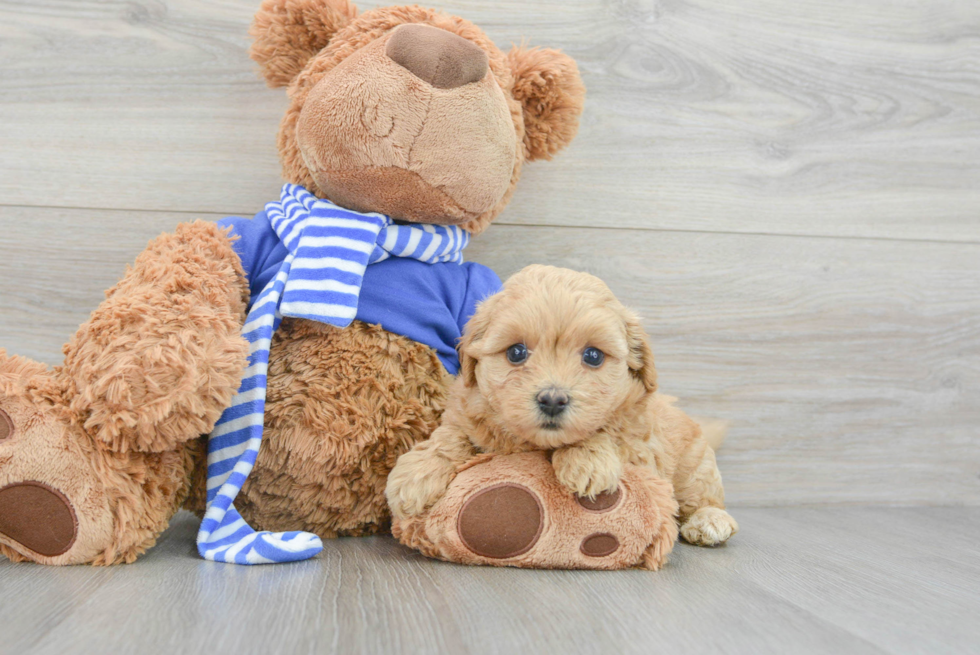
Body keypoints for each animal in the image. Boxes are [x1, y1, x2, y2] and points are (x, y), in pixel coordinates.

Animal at [386, 264, 740, 544]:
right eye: (516, 352)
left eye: (593, 356)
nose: (553, 399)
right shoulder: (468, 411)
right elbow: (450, 436)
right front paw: (415, 474)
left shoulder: (640, 442)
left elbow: (608, 431)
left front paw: (587, 461)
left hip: (695, 467)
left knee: (704, 496)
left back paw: (710, 521)